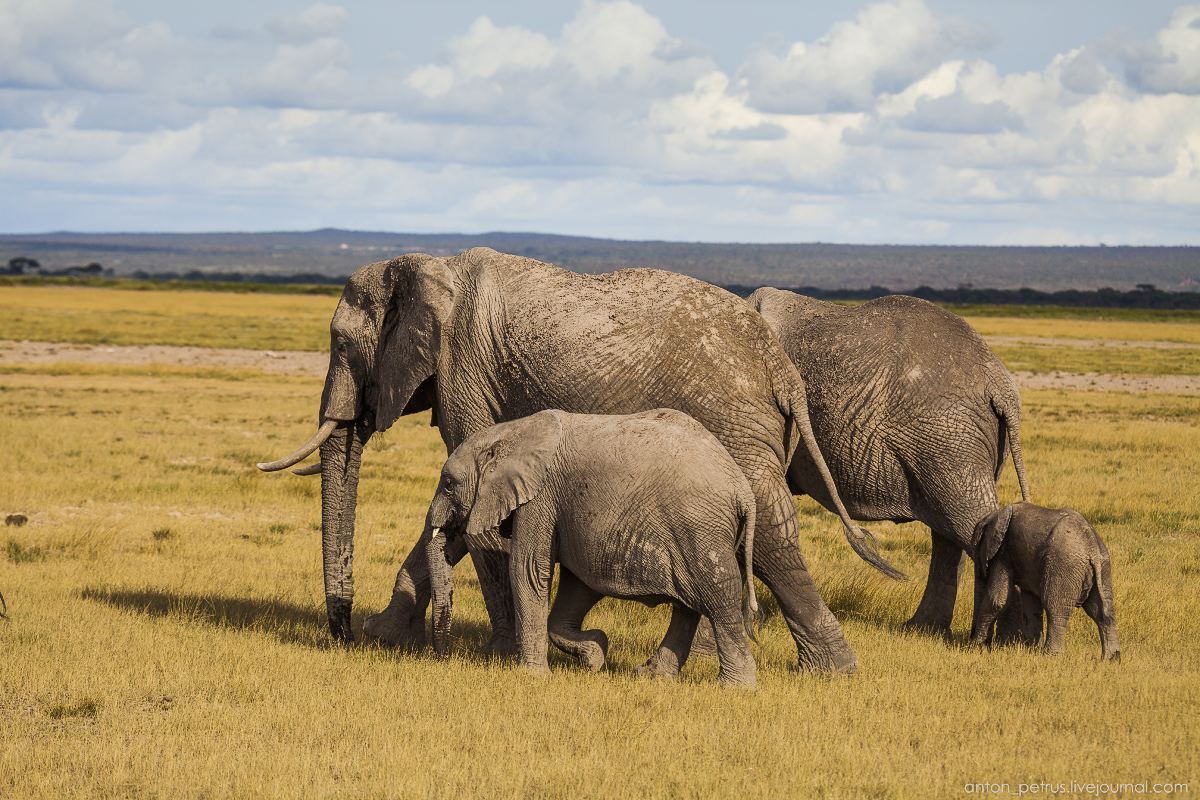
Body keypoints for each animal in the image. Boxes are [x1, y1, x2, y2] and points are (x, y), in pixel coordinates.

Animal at [427, 410, 753, 690]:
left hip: (699, 527)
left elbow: (528, 569)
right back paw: (651, 676)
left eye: (448, 485)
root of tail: (744, 491)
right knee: (689, 604)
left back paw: (735, 688)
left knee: (719, 598)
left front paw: (533, 676)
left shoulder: (541, 497)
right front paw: (595, 656)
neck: (511, 431)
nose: (442, 657)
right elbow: (577, 586)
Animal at [739, 291, 1032, 633]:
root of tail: (1001, 386)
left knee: (967, 522)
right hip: (962, 439)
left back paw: (1006, 638)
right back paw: (924, 630)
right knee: (952, 532)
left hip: (947, 438)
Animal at [969, 501, 1118, 662]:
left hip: (1064, 565)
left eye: (974, 552)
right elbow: (1031, 603)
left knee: (1055, 609)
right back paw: (1112, 660)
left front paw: (975, 647)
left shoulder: (1004, 553)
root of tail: (1092, 547)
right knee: (1103, 612)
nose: (971, 637)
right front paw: (1032, 649)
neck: (994, 516)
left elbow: (996, 600)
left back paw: (1051, 656)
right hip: (1104, 567)